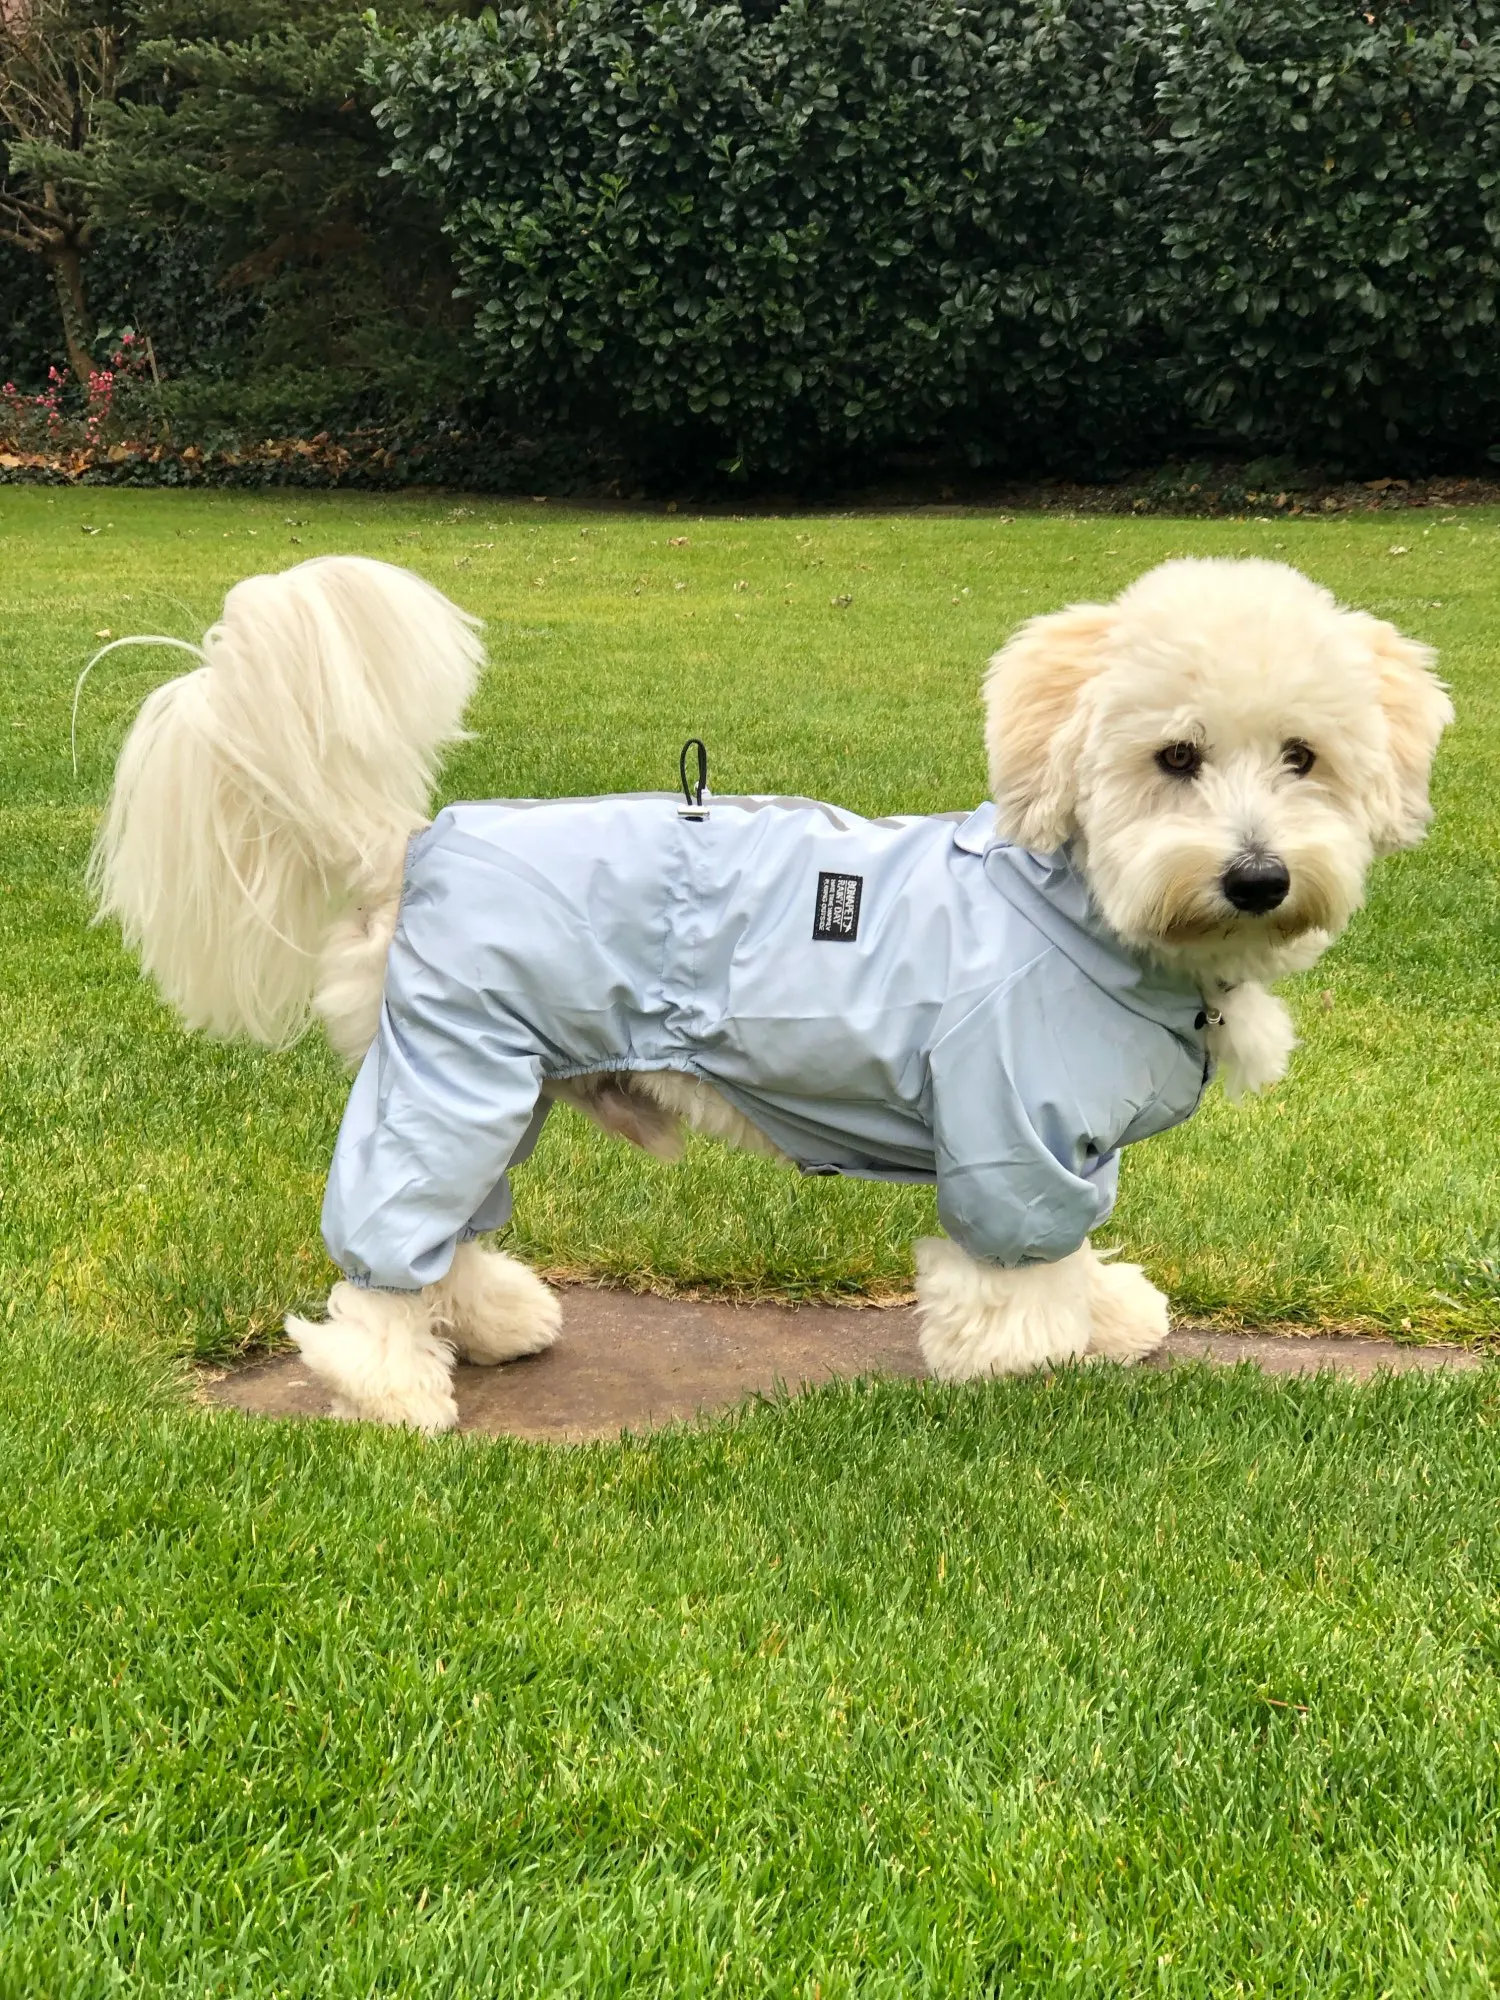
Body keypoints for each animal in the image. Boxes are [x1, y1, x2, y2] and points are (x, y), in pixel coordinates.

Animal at [90, 554, 1451, 1431]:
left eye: (1303, 756)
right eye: (1174, 755)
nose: (1259, 875)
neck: (1081, 904)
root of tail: (411, 842)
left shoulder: (1069, 1138)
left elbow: (1074, 1240)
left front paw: (1104, 1307)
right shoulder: (1012, 1126)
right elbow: (1018, 1254)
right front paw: (1022, 1351)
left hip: (490, 1080)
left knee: (456, 1229)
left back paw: (485, 1322)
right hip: (454, 1076)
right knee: (392, 1241)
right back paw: (388, 1385)